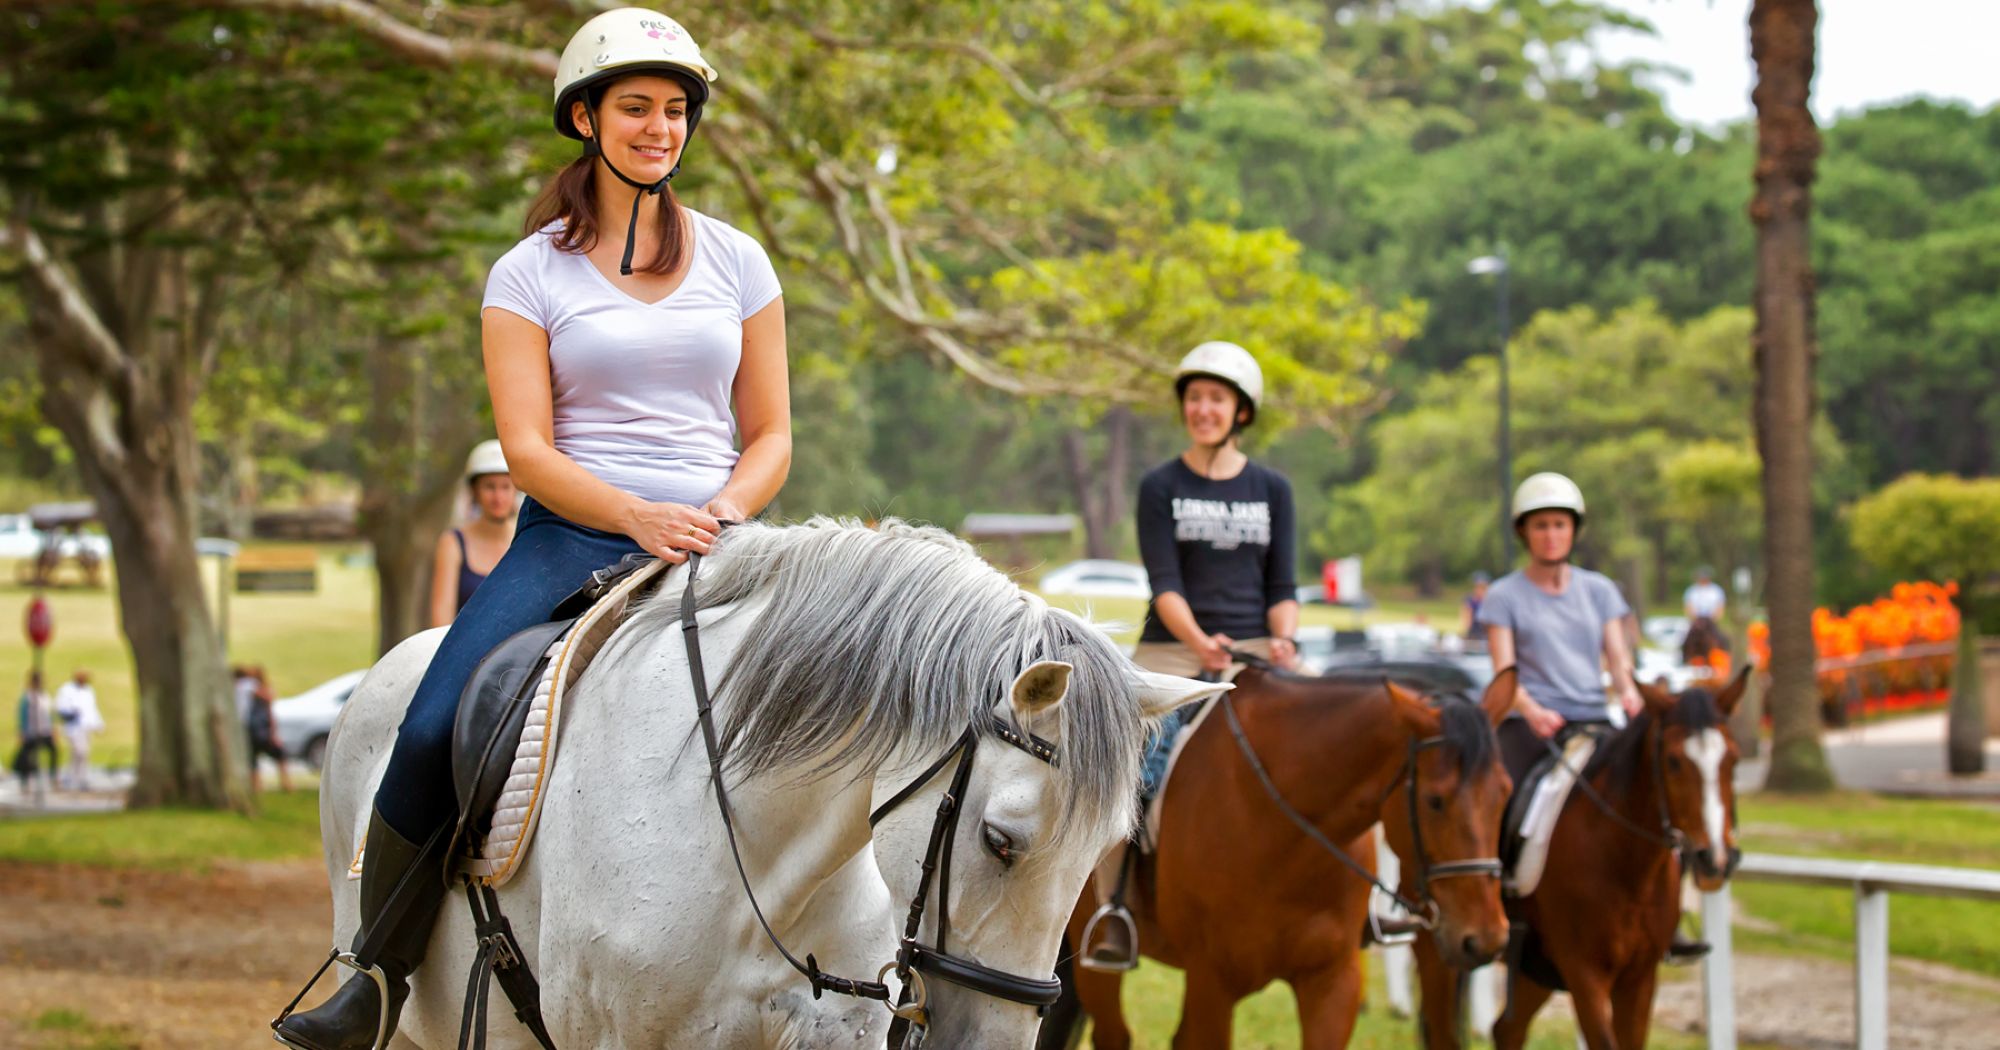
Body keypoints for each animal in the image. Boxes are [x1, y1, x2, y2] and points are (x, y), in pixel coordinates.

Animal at [1480, 672, 1744, 1048]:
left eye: (1733, 760)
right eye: (1673, 761)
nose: (1716, 860)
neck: (1627, 865)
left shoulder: (1640, 977)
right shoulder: (1584, 974)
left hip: (1535, 966)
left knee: (1507, 1029)